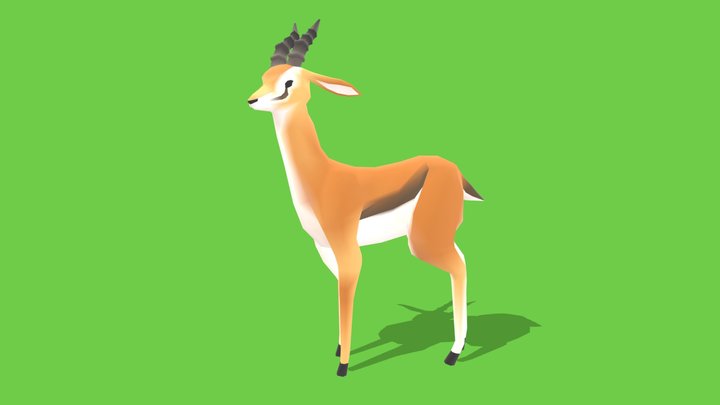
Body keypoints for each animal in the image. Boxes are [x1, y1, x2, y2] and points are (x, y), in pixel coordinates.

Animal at [247, 20, 484, 377]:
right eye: (265, 75)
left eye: (289, 81)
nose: (252, 100)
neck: (322, 177)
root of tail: (455, 171)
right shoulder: (324, 249)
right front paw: (339, 349)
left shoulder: (348, 250)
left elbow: (347, 297)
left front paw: (343, 366)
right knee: (463, 261)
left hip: (424, 241)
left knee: (459, 267)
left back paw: (453, 353)